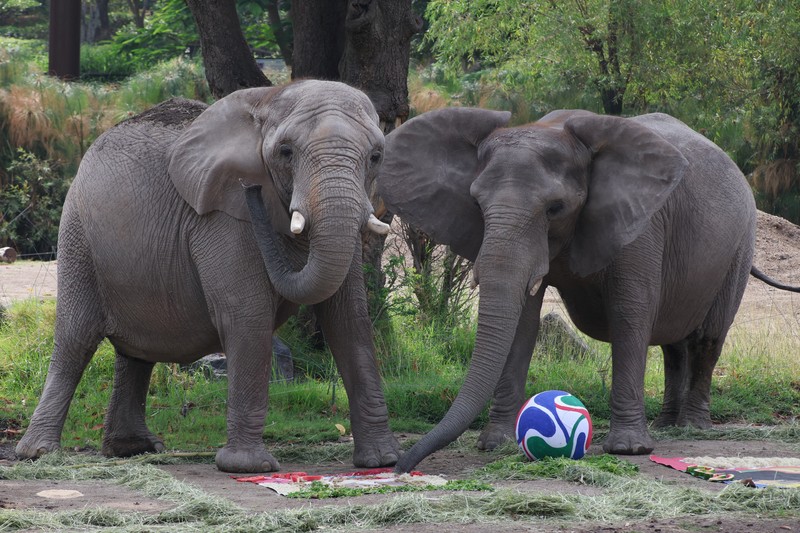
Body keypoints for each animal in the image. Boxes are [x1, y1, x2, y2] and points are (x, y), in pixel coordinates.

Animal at [15, 80, 401, 473]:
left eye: (376, 157)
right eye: (286, 152)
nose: (252, 190)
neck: (270, 98)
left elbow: (349, 320)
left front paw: (382, 461)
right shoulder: (221, 218)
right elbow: (247, 314)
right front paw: (249, 467)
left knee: (135, 352)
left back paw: (133, 448)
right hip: (78, 235)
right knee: (76, 339)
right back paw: (39, 453)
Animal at [377, 107, 799, 472]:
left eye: (555, 208)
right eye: (477, 205)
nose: (400, 467)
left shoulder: (640, 225)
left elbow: (629, 313)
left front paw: (629, 450)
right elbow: (522, 321)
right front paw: (495, 444)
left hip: (740, 245)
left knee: (707, 337)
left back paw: (692, 426)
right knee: (672, 343)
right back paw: (666, 424)